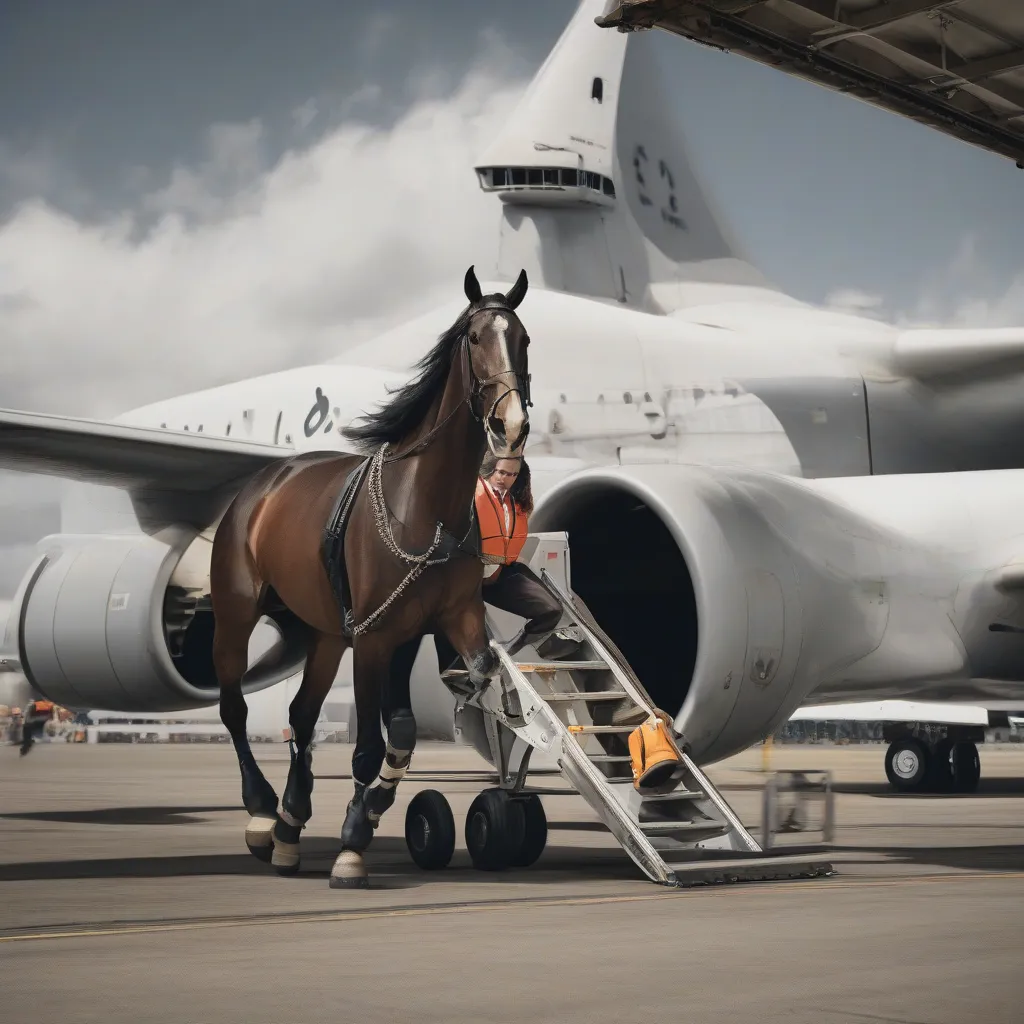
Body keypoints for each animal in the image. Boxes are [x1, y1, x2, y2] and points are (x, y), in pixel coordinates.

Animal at [210, 264, 532, 888]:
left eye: (525, 339)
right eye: (475, 338)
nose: (512, 424)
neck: (423, 505)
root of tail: (262, 486)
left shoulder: (442, 623)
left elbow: (412, 726)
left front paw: (371, 808)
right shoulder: (375, 638)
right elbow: (367, 746)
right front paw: (353, 843)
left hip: (324, 634)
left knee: (301, 712)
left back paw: (290, 825)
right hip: (237, 614)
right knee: (234, 707)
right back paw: (263, 815)